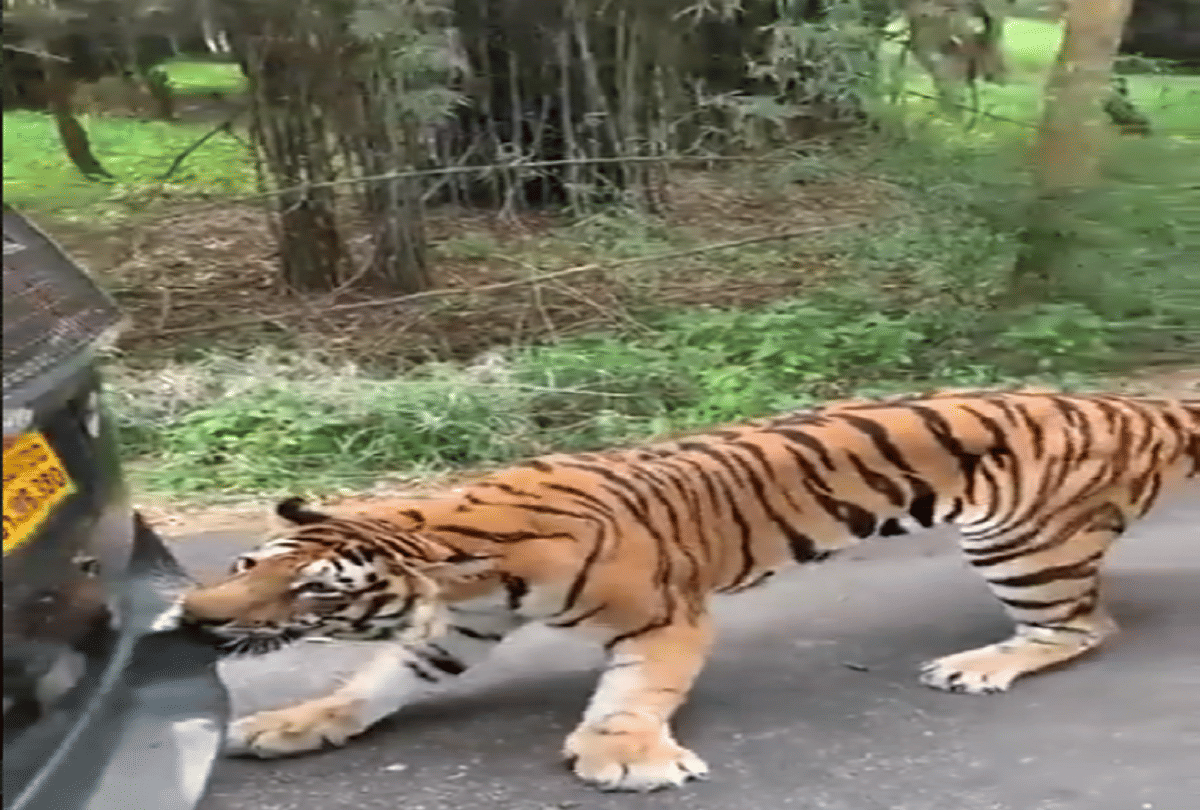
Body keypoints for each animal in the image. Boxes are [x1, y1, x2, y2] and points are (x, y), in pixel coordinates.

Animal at [182, 389, 1200, 792]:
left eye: (314, 595)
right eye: (244, 566)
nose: (193, 616)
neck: (456, 548)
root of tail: (1133, 402)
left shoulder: (663, 618)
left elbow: (636, 693)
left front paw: (626, 754)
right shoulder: (450, 630)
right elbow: (370, 685)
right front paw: (291, 722)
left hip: (1021, 545)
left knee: (1082, 627)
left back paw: (979, 664)